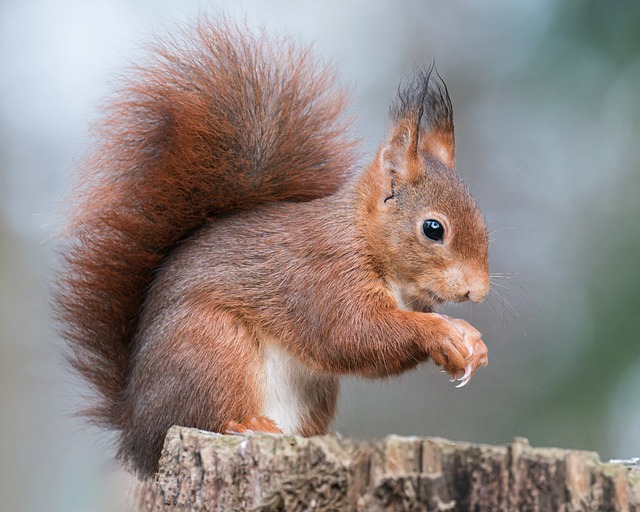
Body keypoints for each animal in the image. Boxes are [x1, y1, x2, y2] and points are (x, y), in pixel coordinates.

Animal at [56, 17, 490, 480]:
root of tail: (135, 428)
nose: (478, 290)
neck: (365, 240)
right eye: (433, 229)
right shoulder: (323, 276)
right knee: (202, 414)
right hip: (211, 345)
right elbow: (353, 333)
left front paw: (472, 344)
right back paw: (244, 424)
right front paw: (442, 332)